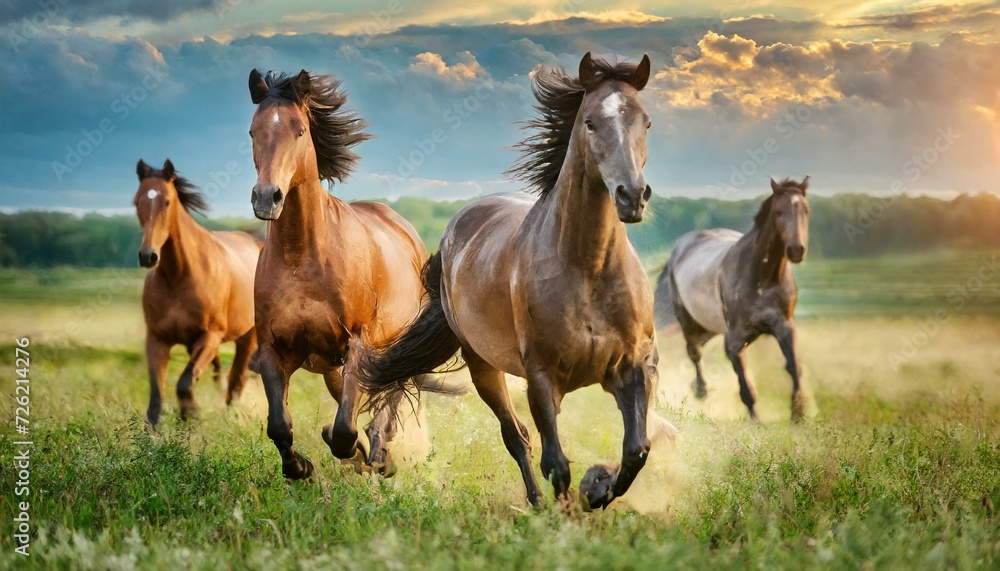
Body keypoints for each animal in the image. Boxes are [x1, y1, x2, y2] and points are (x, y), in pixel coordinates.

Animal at [133, 159, 261, 427]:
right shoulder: (157, 340)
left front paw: (191, 416)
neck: (179, 276)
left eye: (167, 201)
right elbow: (156, 398)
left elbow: (184, 383)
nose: (148, 256)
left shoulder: (210, 337)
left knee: (236, 381)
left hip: (248, 337)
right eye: (137, 201)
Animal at [247, 68, 434, 479]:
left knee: (390, 394)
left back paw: (380, 451)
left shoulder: (358, 344)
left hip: (395, 343)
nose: (267, 198)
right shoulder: (273, 348)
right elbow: (279, 424)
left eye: (300, 130)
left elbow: (345, 429)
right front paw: (300, 467)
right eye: (252, 131)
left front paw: (360, 451)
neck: (301, 257)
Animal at [356, 53, 676, 510]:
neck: (588, 268)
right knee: (516, 437)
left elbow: (637, 448)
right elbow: (555, 462)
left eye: (646, 121)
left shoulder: (630, 367)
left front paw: (597, 486)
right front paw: (570, 506)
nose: (632, 196)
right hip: (482, 366)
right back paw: (537, 503)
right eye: (591, 122)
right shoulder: (541, 379)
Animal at [653, 177, 811, 421]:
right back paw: (701, 390)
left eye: (805, 210)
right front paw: (755, 419)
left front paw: (798, 413)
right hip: (689, 321)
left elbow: (793, 366)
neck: (763, 277)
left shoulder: (784, 326)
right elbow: (743, 380)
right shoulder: (735, 338)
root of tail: (678, 249)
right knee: (694, 351)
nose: (796, 250)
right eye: (778, 212)